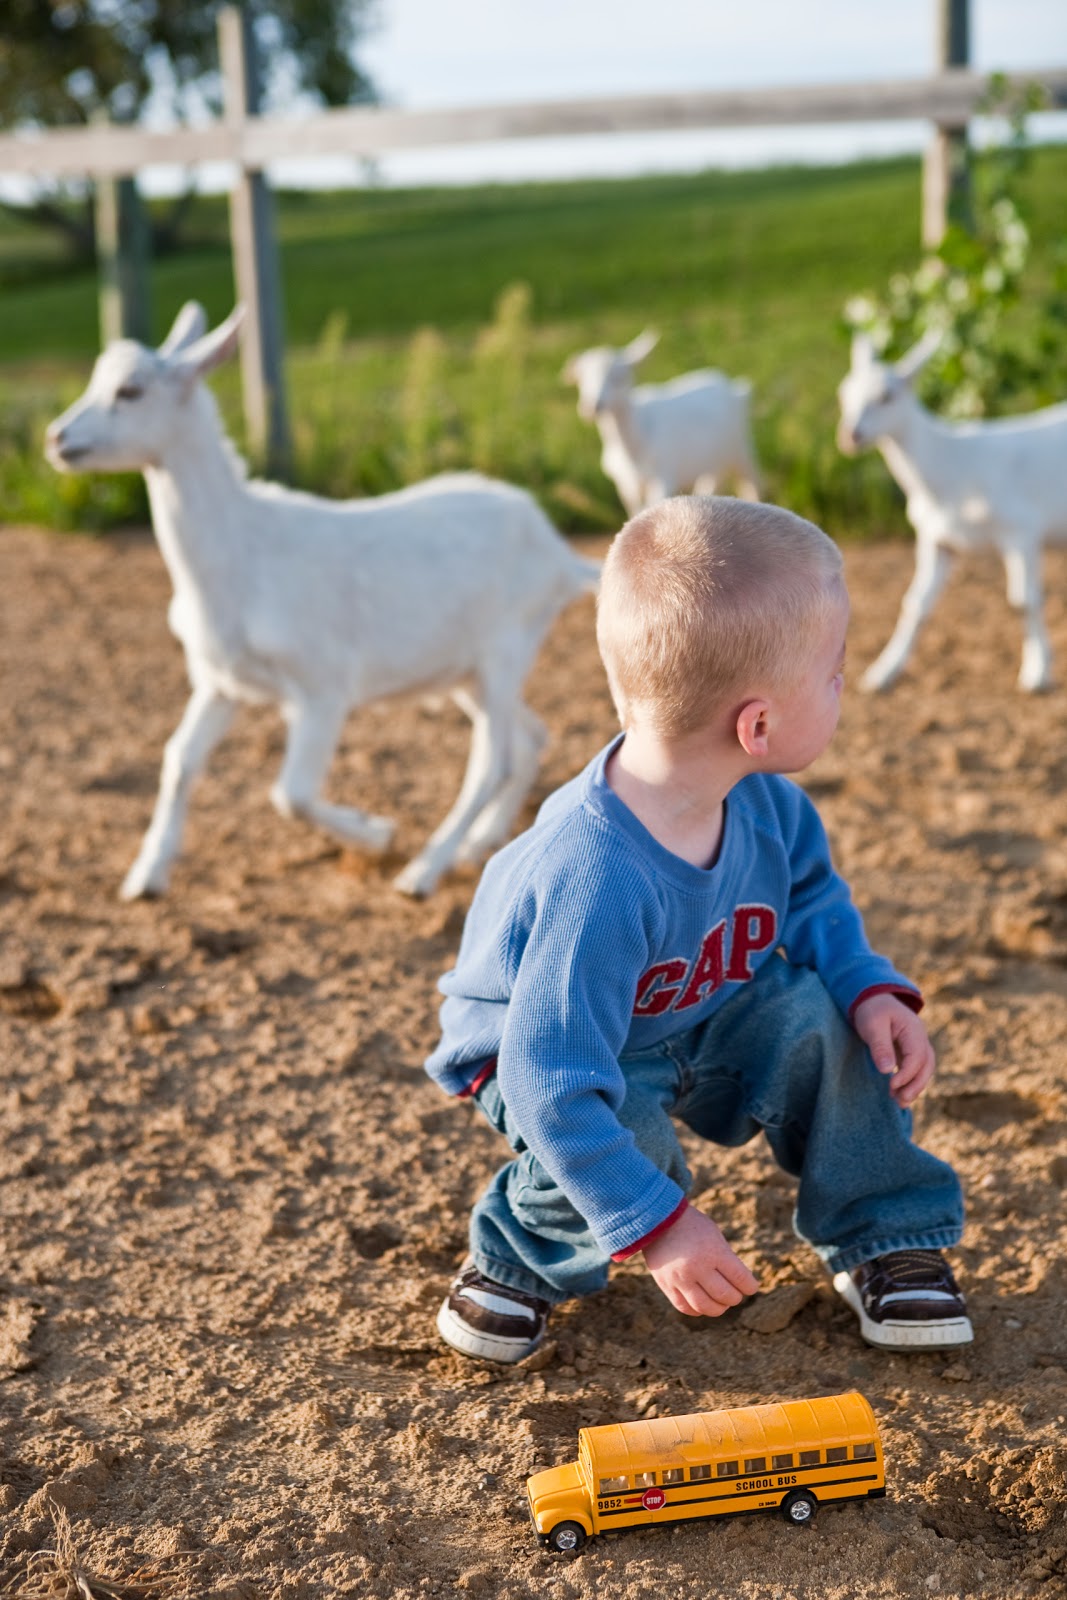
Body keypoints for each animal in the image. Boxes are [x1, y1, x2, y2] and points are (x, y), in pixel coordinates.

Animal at [45, 302, 600, 899]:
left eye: (130, 390)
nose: (57, 438)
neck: (244, 559)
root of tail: (561, 556)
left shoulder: (322, 686)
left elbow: (291, 793)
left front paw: (377, 834)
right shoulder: (220, 682)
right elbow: (178, 760)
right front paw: (145, 878)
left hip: (504, 648)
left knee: (490, 760)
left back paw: (422, 871)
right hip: (462, 671)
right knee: (530, 738)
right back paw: (478, 846)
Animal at [563, 330, 761, 514]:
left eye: (620, 377)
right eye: (581, 379)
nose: (592, 406)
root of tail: (734, 386)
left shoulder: (664, 475)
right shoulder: (625, 486)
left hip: (740, 446)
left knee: (752, 481)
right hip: (715, 458)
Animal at [838, 331, 1067, 693]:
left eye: (887, 396)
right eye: (844, 393)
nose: (850, 435)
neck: (952, 466)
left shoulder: (1020, 531)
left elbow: (1023, 601)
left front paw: (1037, 673)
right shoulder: (937, 539)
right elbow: (915, 603)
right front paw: (882, 673)